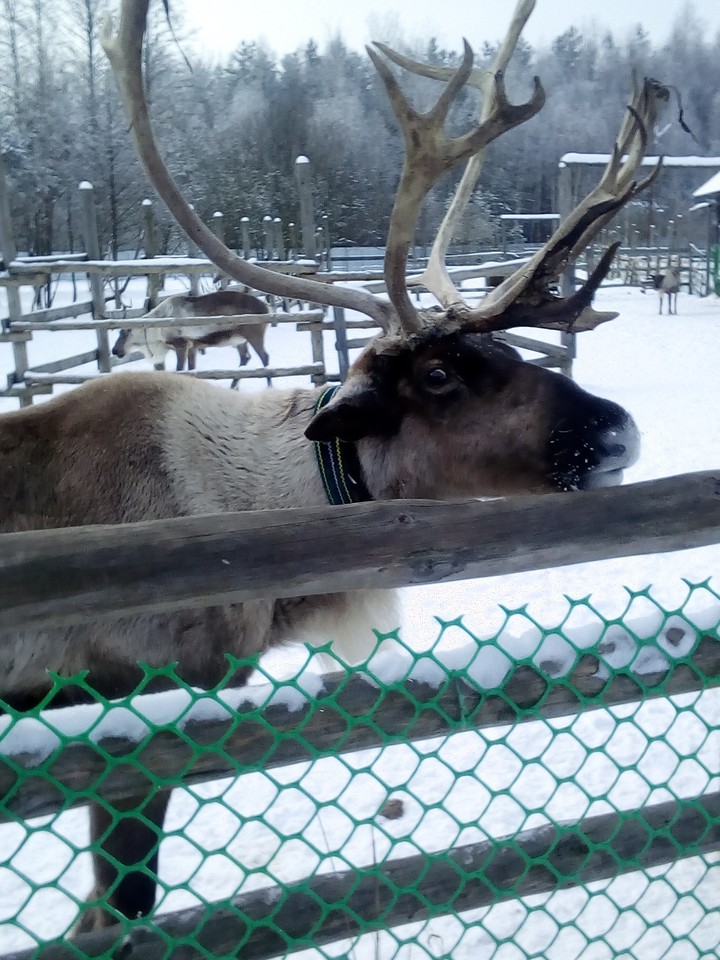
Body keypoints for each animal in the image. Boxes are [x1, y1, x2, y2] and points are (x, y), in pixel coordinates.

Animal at [111, 289, 271, 387]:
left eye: (124, 333)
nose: (114, 350)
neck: (156, 331)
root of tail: (267, 308)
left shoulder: (180, 344)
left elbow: (180, 369)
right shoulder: (193, 346)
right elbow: (192, 370)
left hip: (254, 335)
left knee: (265, 357)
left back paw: (269, 386)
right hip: (239, 340)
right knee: (245, 358)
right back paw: (233, 386)